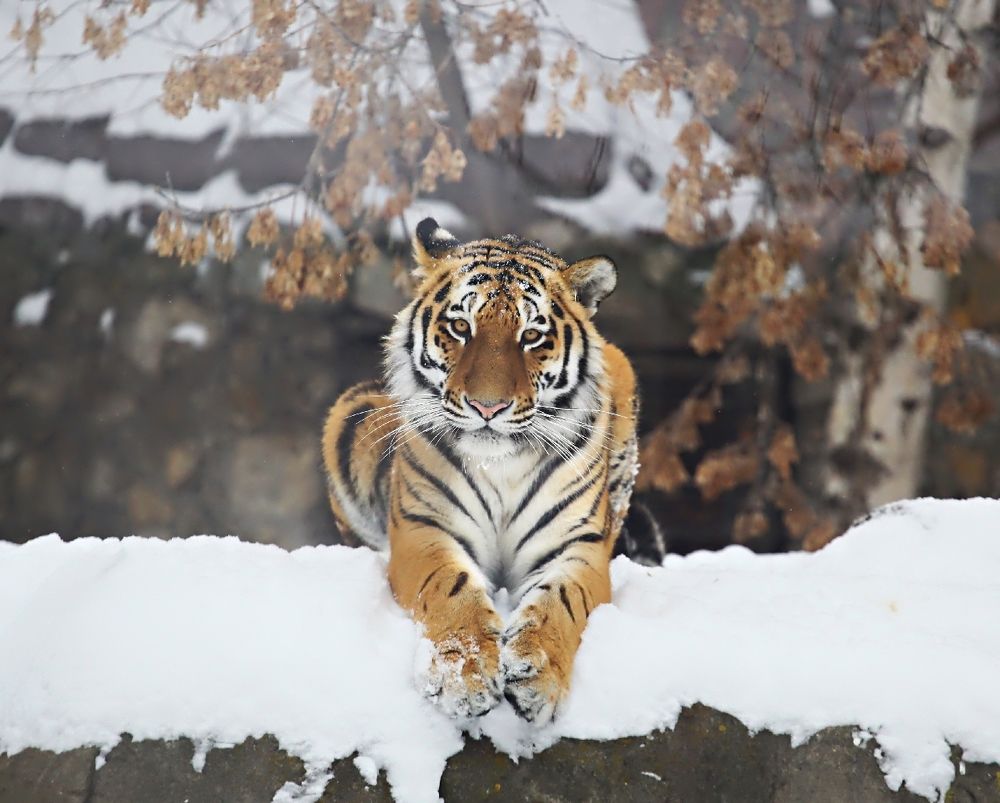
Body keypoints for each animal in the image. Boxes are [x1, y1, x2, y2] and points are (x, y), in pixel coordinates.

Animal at [322, 217, 639, 725]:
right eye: (460, 326)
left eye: (531, 336)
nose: (488, 407)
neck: (501, 463)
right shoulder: (424, 527)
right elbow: (450, 587)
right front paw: (464, 677)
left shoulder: (578, 545)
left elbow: (561, 600)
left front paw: (536, 676)